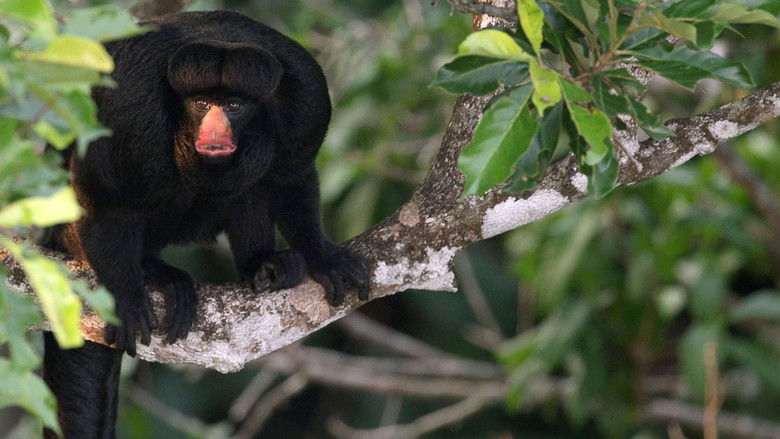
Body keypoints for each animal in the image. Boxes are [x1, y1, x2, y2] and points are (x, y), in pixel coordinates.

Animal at [42, 10, 369, 438]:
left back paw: (260, 264)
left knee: (254, 177)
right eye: (201, 104)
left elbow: (292, 175)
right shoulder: (129, 106)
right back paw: (154, 272)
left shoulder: (307, 99)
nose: (214, 128)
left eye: (233, 105)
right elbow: (106, 199)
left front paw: (321, 255)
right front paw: (126, 295)